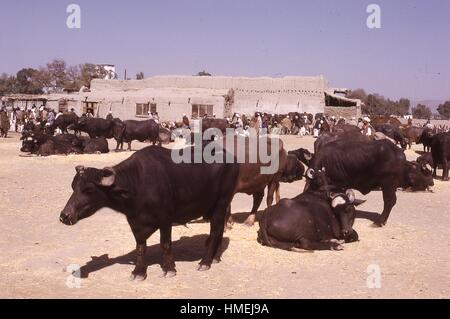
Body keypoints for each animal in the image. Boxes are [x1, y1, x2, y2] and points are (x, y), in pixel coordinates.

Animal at [62, 146, 243, 282]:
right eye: (73, 186)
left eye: (88, 189)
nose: (64, 215)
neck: (137, 185)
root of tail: (231, 158)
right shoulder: (135, 222)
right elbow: (141, 247)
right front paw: (139, 272)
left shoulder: (166, 219)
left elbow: (165, 244)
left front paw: (169, 269)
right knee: (219, 230)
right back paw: (215, 257)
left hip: (221, 203)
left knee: (215, 231)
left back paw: (205, 262)